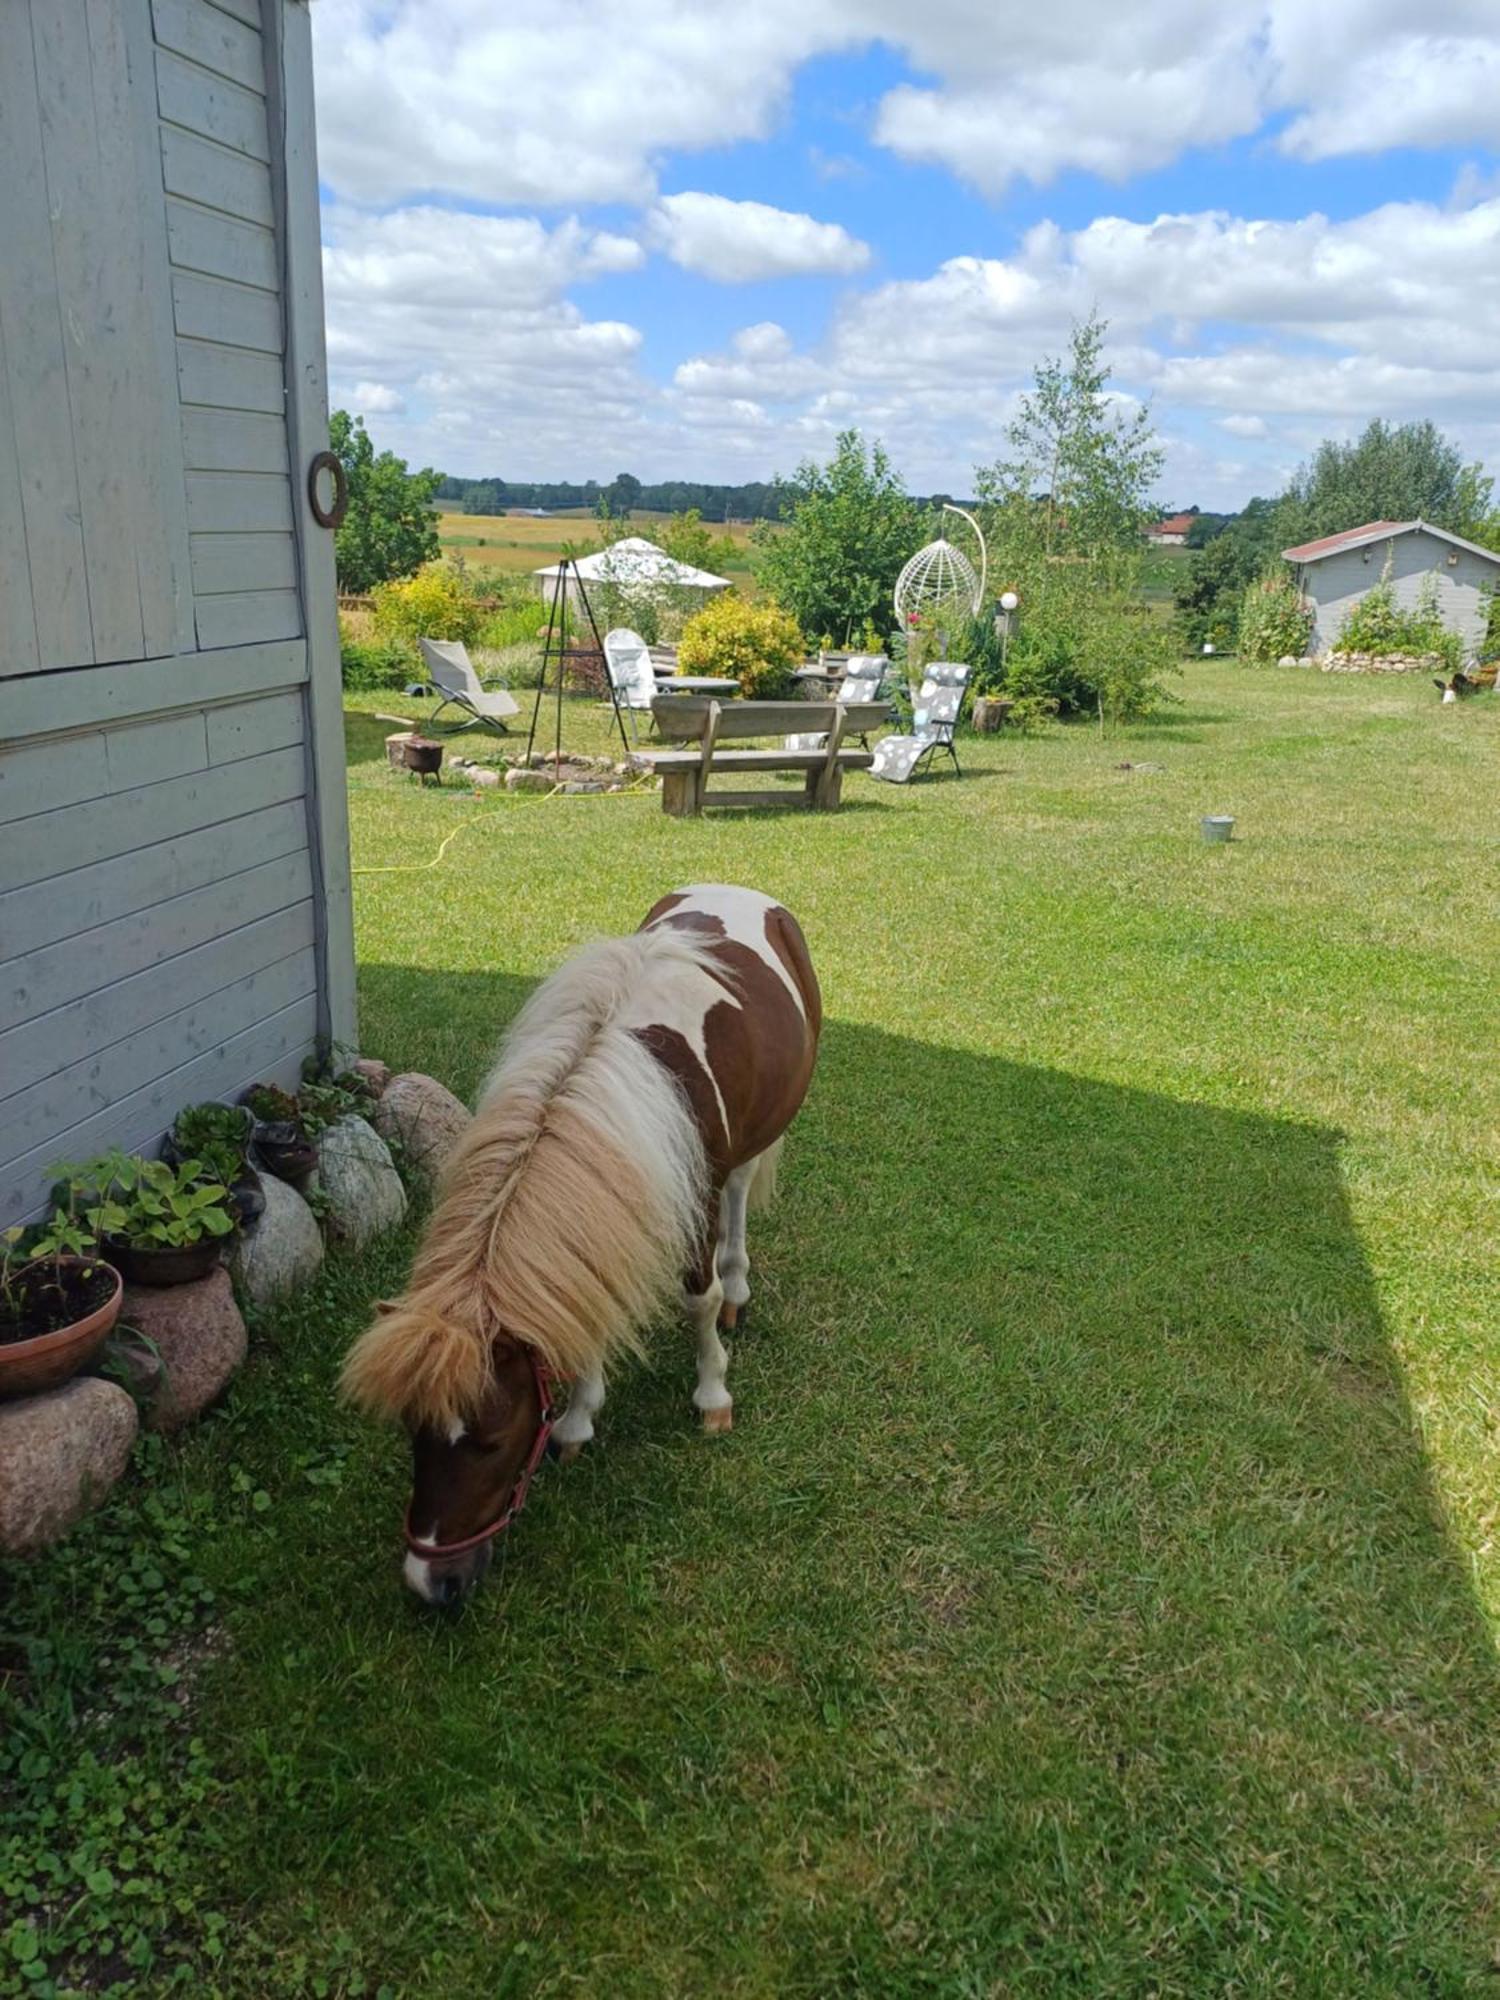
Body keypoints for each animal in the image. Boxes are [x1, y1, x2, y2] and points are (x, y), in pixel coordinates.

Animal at [344, 884, 824, 1600]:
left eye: (491, 1440)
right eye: (412, 1433)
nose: (430, 1585)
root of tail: (740, 891)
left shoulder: (698, 1196)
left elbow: (701, 1301)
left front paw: (712, 1394)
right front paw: (578, 1421)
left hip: (752, 1147)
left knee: (741, 1195)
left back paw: (739, 1286)